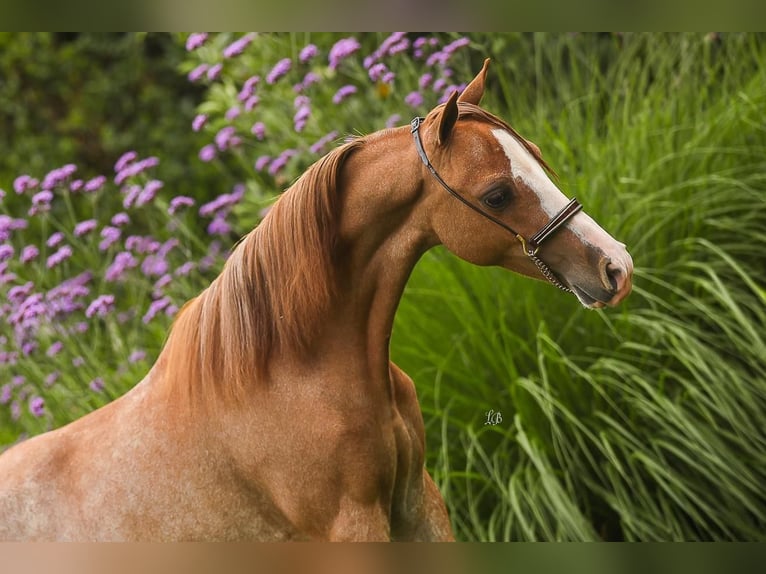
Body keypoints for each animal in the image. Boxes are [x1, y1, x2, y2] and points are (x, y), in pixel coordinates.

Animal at [0, 60, 636, 544]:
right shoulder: (353, 529)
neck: (290, 375)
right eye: (498, 194)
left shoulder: (418, 509)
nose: (616, 266)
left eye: (536, 155)